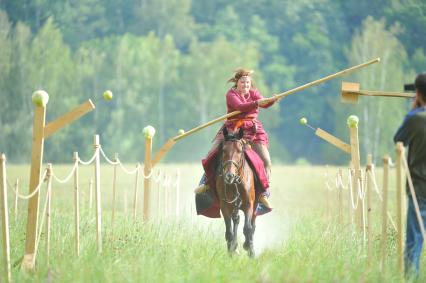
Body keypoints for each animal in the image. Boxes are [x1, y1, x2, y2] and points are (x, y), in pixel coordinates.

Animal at [216, 127, 256, 258]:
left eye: (239, 150)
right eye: (223, 150)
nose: (229, 176)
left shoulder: (249, 204)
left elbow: (248, 228)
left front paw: (250, 249)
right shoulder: (225, 206)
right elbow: (229, 231)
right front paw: (231, 251)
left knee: (252, 225)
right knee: (236, 220)